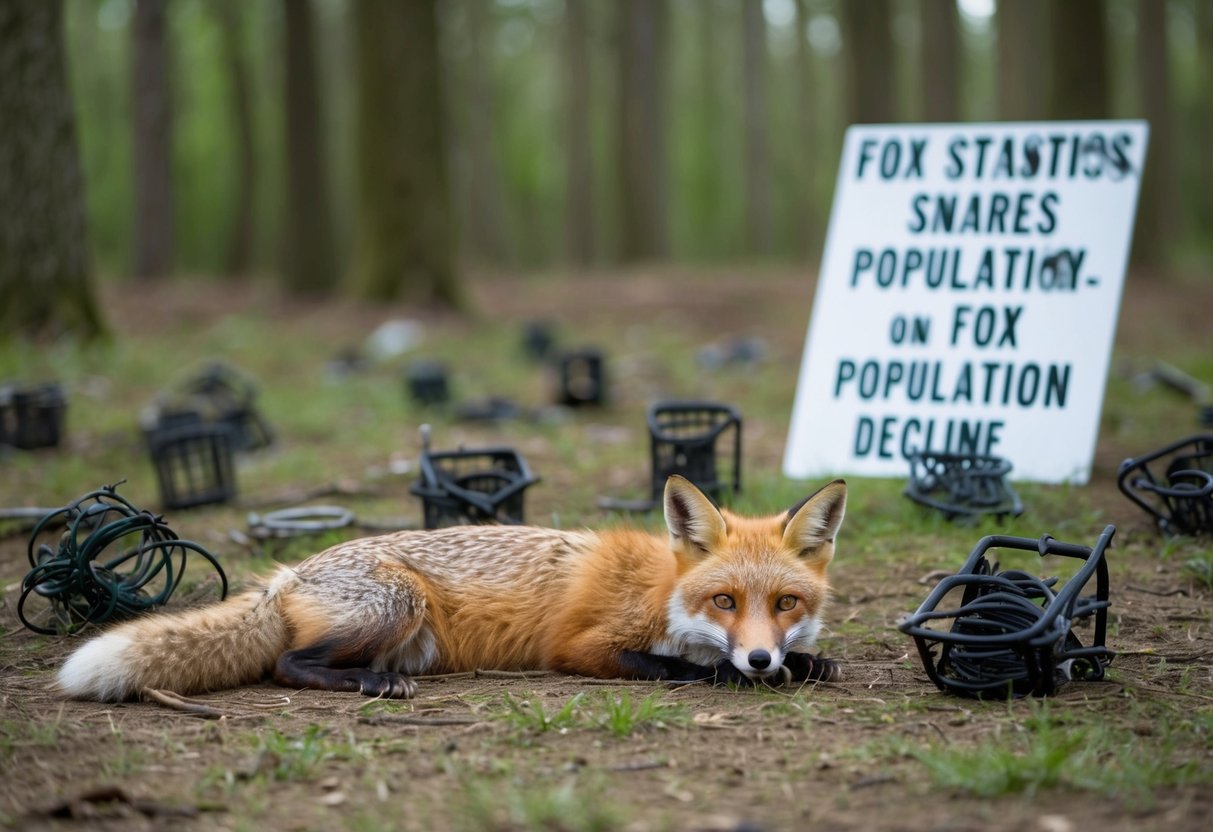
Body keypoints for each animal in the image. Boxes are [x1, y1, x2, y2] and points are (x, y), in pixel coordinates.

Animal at [57, 475, 847, 701]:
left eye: (785, 604)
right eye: (723, 601)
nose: (759, 660)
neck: (659, 594)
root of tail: (287, 573)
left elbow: (808, 659)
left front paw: (806, 662)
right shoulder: (581, 648)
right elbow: (676, 666)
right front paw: (730, 673)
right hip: (397, 605)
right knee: (287, 664)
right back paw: (371, 686)